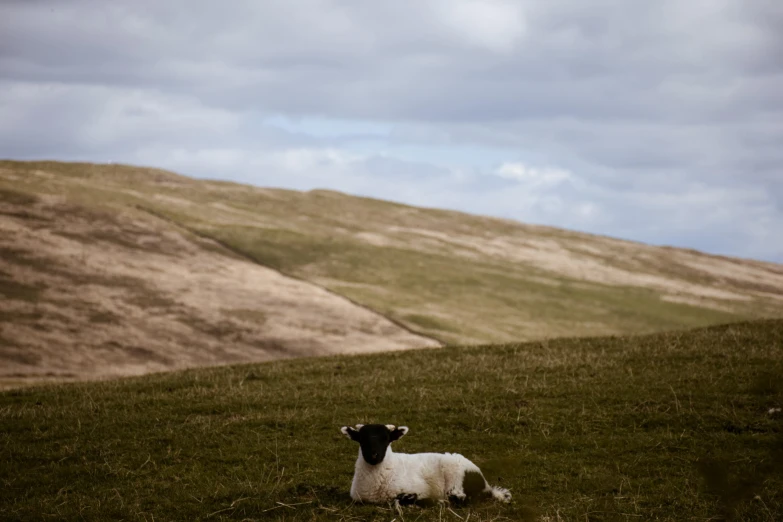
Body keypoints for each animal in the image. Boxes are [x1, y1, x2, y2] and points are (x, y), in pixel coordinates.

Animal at [338, 422, 512, 504]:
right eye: (361, 439)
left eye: (386, 439)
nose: (373, 456)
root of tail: (486, 485)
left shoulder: (417, 488)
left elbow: (404, 497)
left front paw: (414, 498)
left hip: (456, 476)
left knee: (460, 498)